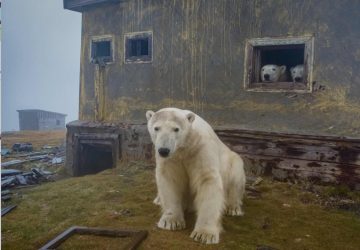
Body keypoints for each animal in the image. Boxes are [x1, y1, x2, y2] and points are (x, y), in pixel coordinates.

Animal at [146, 107, 245, 244]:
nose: (164, 150)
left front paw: (204, 234)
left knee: (235, 176)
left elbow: (207, 179)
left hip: (232, 161)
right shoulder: (171, 158)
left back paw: (233, 208)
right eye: (156, 128)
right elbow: (170, 178)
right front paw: (171, 222)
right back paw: (158, 200)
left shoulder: (200, 149)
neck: (184, 147)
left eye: (176, 129)